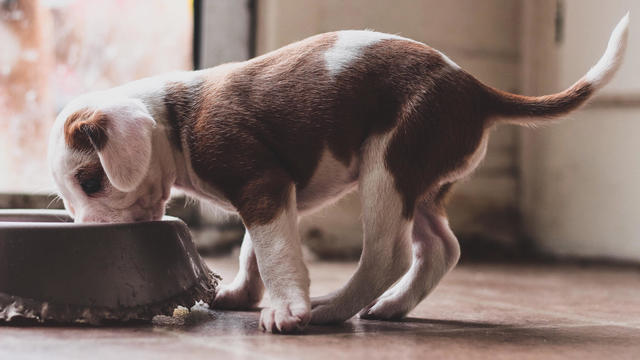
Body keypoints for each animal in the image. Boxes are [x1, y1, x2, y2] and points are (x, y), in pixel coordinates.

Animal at [48, 15, 632, 334]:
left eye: (92, 181)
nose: (84, 234)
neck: (174, 118)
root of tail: (474, 88)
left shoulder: (261, 186)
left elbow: (274, 252)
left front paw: (287, 309)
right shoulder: (274, 193)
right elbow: (252, 248)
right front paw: (240, 293)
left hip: (388, 167)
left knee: (388, 256)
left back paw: (333, 310)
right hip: (422, 183)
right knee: (440, 248)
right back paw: (393, 306)